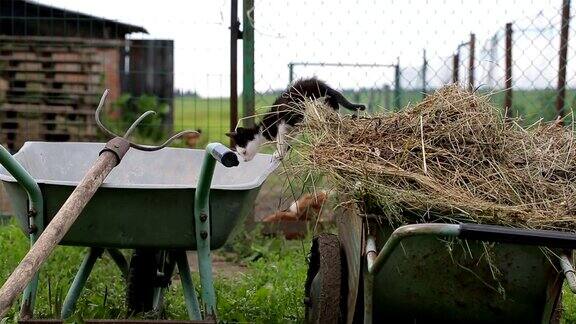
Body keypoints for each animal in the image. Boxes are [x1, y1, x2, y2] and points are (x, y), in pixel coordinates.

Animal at [226, 76, 364, 162]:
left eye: (243, 152)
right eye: (240, 154)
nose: (244, 160)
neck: (261, 131)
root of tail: (322, 84)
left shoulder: (281, 122)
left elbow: (280, 139)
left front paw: (279, 153)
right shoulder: (291, 129)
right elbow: (288, 140)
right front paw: (284, 151)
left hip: (308, 102)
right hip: (328, 102)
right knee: (334, 108)